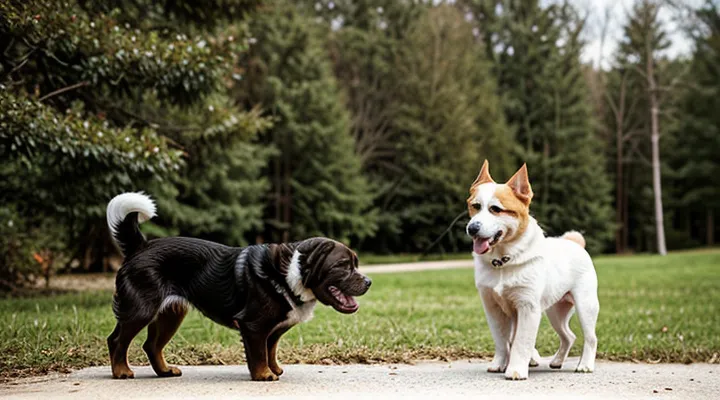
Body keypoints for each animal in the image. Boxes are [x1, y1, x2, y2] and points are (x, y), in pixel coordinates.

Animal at [105, 194, 372, 382]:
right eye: (343, 266)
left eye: (356, 264)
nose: (369, 282)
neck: (290, 273)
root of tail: (140, 246)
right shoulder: (253, 325)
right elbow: (259, 353)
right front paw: (264, 375)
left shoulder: (273, 330)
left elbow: (270, 349)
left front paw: (273, 368)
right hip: (141, 309)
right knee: (117, 339)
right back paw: (121, 371)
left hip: (171, 314)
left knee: (151, 345)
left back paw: (164, 371)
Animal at [464, 161, 600, 380]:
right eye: (475, 206)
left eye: (496, 209)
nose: (472, 228)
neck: (503, 262)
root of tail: (574, 243)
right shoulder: (493, 308)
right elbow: (502, 340)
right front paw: (500, 364)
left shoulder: (527, 308)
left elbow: (521, 342)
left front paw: (516, 369)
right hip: (556, 312)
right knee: (569, 336)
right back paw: (557, 361)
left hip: (585, 306)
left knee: (590, 337)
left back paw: (585, 365)